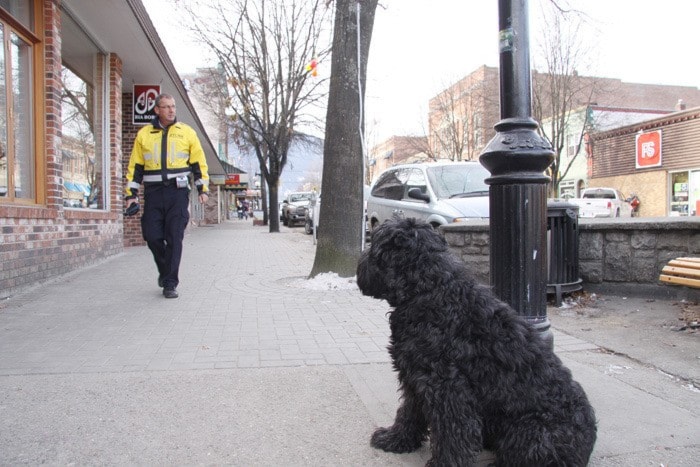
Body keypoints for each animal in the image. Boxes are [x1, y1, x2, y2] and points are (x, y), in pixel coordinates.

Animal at [356, 219, 596, 467]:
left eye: (374, 247)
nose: (360, 260)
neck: (430, 289)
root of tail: (585, 448)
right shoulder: (416, 376)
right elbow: (409, 412)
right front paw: (396, 438)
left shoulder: (447, 387)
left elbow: (453, 431)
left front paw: (446, 463)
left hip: (532, 432)